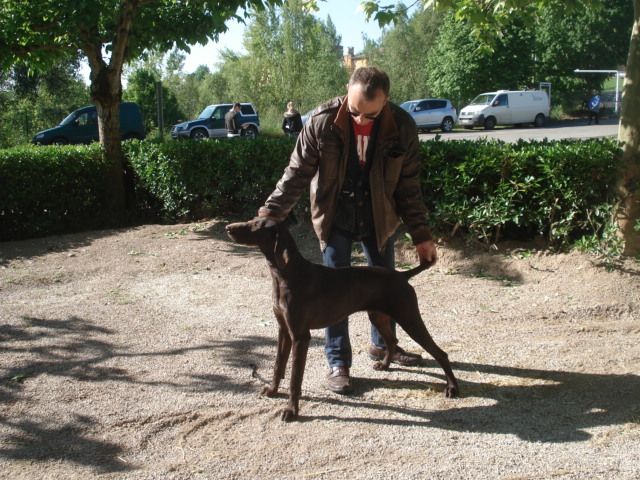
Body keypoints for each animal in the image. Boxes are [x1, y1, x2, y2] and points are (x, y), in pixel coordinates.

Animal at [226, 217, 460, 420]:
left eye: (256, 225)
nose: (228, 228)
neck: (286, 274)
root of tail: (402, 275)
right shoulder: (284, 330)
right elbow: (277, 366)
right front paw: (273, 390)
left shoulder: (300, 336)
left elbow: (294, 378)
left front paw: (291, 411)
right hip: (378, 316)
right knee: (392, 341)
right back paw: (385, 365)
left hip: (408, 317)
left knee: (440, 353)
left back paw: (452, 387)